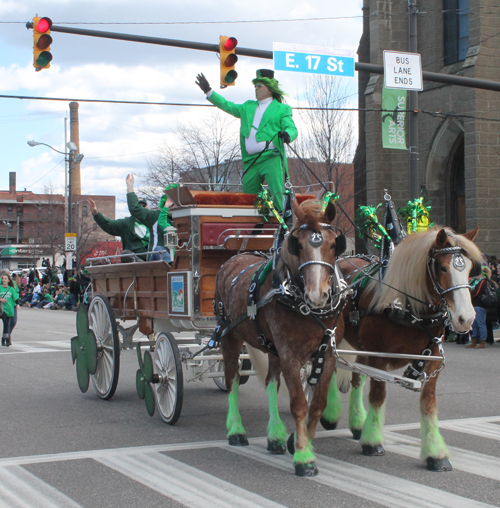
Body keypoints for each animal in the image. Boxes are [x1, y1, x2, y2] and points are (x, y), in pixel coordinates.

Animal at [214, 198, 348, 476]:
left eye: (333, 244)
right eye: (299, 246)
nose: (317, 295)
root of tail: (233, 258)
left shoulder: (326, 354)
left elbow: (316, 405)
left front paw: (300, 443)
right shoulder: (290, 355)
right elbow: (299, 405)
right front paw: (303, 458)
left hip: (272, 348)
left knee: (270, 384)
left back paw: (274, 436)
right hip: (229, 336)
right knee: (232, 380)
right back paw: (236, 431)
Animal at [318, 226, 482, 472]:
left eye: (470, 269)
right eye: (443, 267)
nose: (466, 319)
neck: (409, 308)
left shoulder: (431, 360)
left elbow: (428, 403)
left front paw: (435, 454)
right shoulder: (378, 356)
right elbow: (378, 396)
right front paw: (373, 442)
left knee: (356, 378)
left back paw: (357, 423)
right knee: (332, 367)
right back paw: (330, 415)